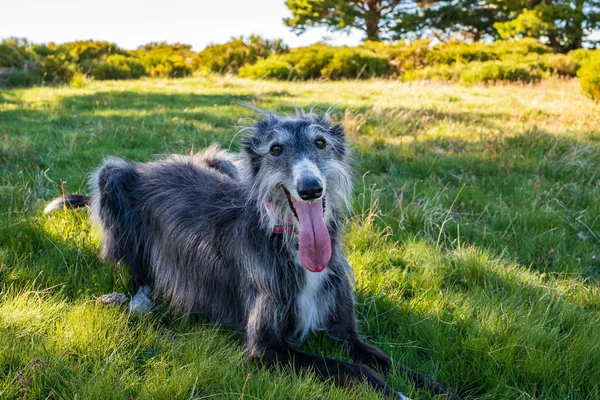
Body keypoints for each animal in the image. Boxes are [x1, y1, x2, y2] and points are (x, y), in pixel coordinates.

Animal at [45, 106, 460, 400]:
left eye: (320, 143)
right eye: (276, 149)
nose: (310, 188)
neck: (293, 249)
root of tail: (152, 164)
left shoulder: (345, 331)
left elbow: (388, 361)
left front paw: (440, 389)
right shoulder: (266, 347)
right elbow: (354, 370)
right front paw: (395, 393)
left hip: (222, 160)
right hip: (113, 177)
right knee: (131, 266)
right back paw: (139, 299)